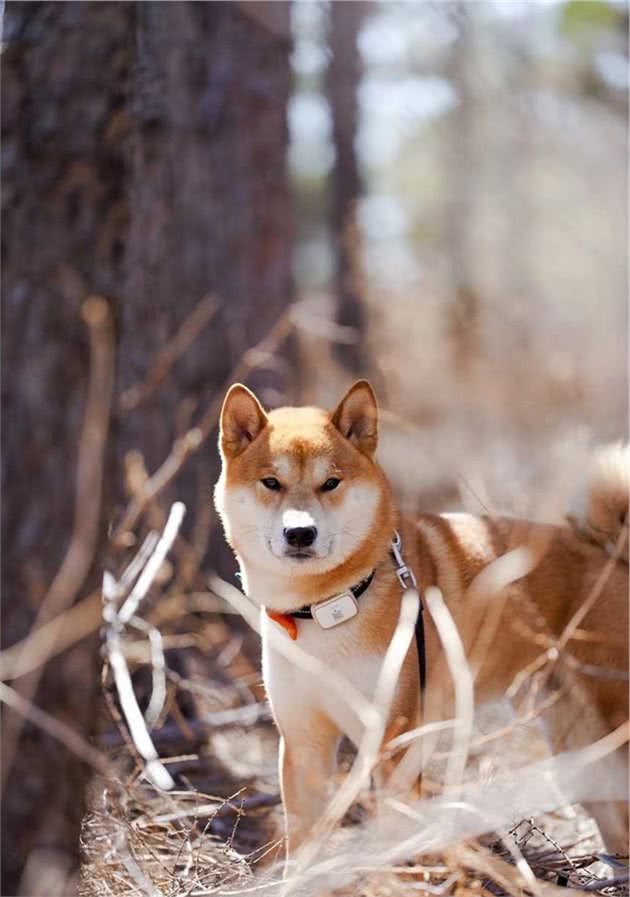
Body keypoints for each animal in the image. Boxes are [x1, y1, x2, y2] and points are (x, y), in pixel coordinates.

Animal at [215, 382, 628, 856]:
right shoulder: (304, 744)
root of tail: (613, 552)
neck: (329, 608)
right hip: (580, 749)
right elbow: (300, 846)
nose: (300, 533)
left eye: (330, 483)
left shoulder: (395, 738)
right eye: (271, 483)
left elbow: (390, 834)